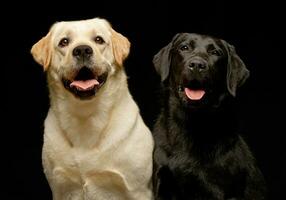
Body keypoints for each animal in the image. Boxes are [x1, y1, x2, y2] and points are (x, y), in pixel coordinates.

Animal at [31, 17, 154, 200]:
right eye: (64, 42)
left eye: (98, 40)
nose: (82, 50)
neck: (86, 116)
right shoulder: (61, 189)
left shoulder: (139, 190)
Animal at [152, 33, 266, 199]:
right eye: (184, 47)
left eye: (216, 52)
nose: (197, 65)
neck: (191, 123)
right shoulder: (162, 182)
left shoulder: (216, 189)